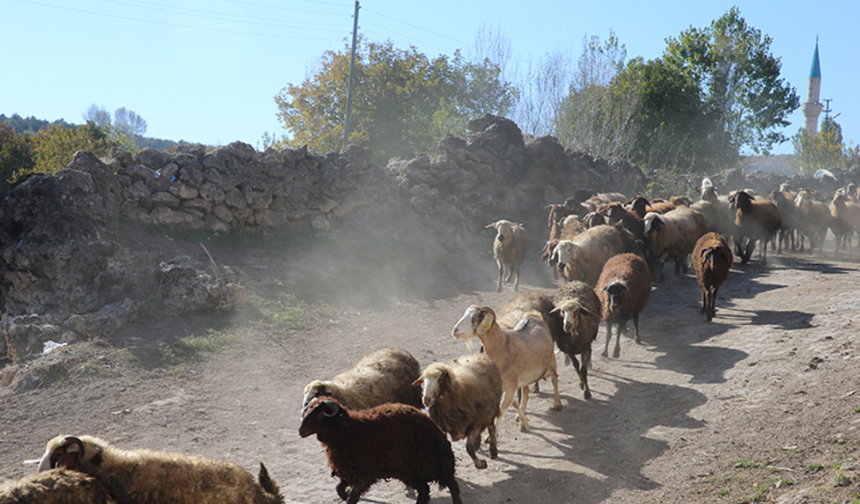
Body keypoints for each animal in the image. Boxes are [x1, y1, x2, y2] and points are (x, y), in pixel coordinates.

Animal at [298, 398, 460, 504]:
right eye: (308, 409)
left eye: (320, 414)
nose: (300, 431)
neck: (349, 431)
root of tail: (436, 428)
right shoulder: (349, 472)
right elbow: (339, 489)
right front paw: (344, 495)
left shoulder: (365, 473)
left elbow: (352, 497)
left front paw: (348, 496)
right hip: (409, 472)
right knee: (424, 490)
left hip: (435, 464)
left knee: (451, 485)